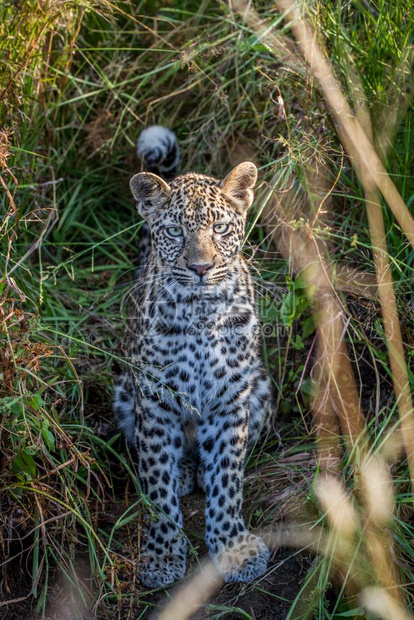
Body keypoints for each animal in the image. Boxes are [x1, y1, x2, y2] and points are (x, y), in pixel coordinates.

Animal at [114, 124, 274, 588]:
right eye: (173, 232)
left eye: (220, 228)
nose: (201, 268)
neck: (202, 311)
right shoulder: (155, 399)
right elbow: (156, 483)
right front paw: (163, 553)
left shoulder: (230, 400)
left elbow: (228, 478)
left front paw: (234, 547)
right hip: (126, 393)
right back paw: (186, 472)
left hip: (261, 388)